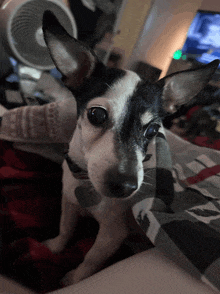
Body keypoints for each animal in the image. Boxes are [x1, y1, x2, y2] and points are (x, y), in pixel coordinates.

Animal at [42, 11, 219, 284]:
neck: (85, 181)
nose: (124, 186)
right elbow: (65, 228)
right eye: (96, 115)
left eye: (153, 131)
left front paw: (73, 279)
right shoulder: (69, 203)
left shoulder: (112, 235)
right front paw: (55, 247)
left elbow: (90, 259)